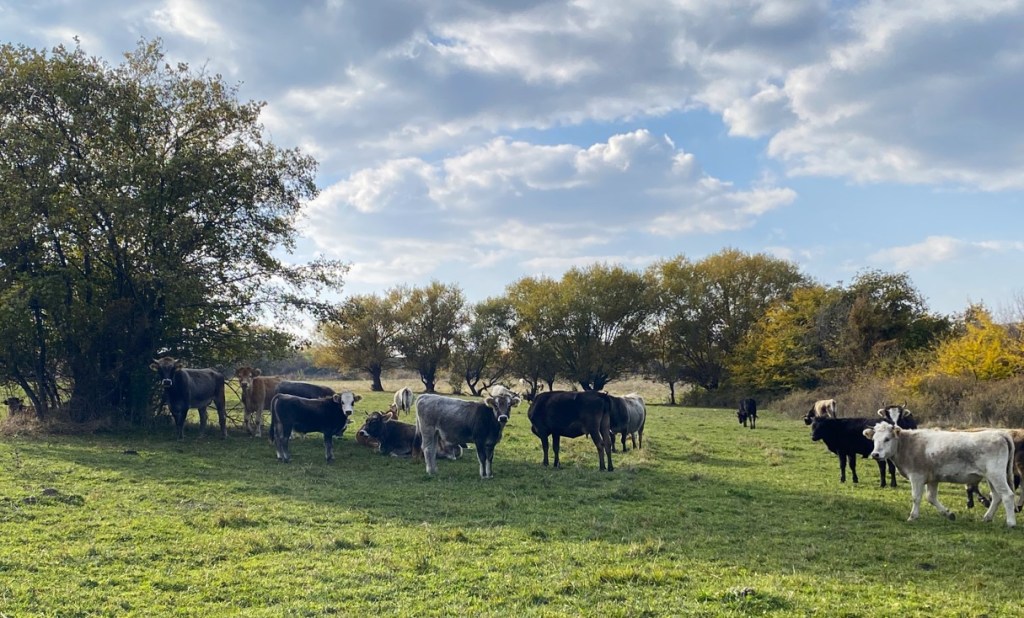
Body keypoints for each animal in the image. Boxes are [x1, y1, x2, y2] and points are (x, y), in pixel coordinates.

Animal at [864, 422, 1016, 527]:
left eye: (887, 439)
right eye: (874, 439)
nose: (875, 454)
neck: (907, 444)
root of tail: (999, 433)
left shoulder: (917, 476)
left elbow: (916, 497)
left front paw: (913, 516)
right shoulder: (932, 479)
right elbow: (931, 497)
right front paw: (949, 514)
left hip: (996, 474)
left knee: (1007, 495)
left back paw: (1011, 523)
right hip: (991, 477)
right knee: (997, 496)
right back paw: (987, 518)